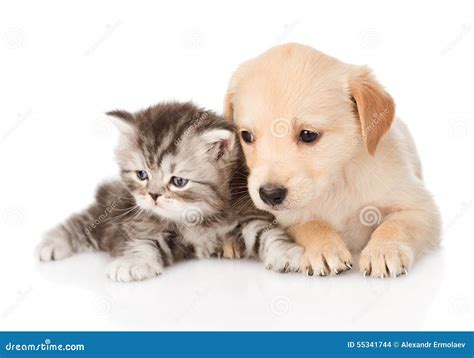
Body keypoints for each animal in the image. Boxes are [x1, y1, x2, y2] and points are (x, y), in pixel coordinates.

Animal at [38, 102, 304, 282]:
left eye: (178, 181)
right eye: (142, 174)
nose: (154, 196)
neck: (200, 217)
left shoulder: (245, 214)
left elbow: (265, 233)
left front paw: (286, 253)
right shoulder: (148, 224)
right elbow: (144, 242)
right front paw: (132, 262)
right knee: (84, 220)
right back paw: (51, 243)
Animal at [224, 42, 442, 276]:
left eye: (308, 134)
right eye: (246, 136)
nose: (269, 194)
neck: (337, 182)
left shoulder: (421, 207)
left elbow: (396, 225)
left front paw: (384, 250)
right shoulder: (288, 217)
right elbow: (310, 224)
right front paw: (325, 248)